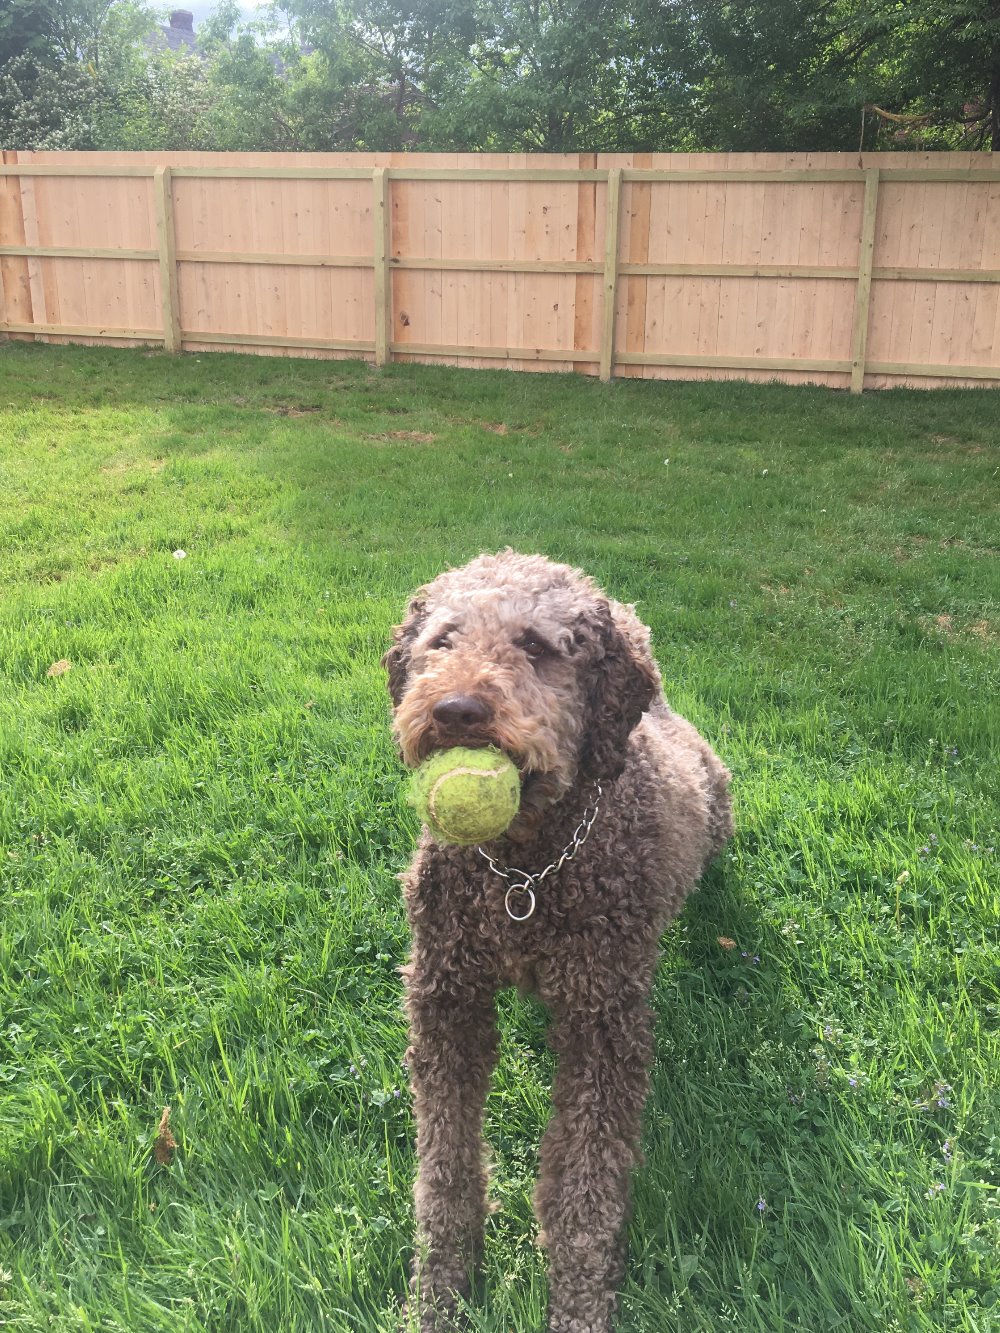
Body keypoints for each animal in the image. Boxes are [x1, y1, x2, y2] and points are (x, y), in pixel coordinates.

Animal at [386, 549, 736, 1333]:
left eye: (537, 646)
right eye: (443, 640)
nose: (455, 711)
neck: (524, 869)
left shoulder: (601, 1020)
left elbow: (585, 1184)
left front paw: (577, 1303)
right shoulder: (446, 996)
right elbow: (444, 1163)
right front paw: (440, 1289)